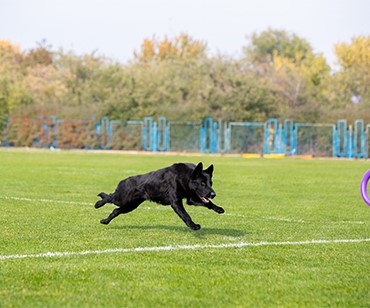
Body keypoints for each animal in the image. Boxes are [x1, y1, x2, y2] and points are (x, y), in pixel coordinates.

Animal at [94, 162, 224, 230]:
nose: (213, 194)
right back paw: (98, 203)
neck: (185, 177)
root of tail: (123, 181)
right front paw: (193, 226)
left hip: (130, 206)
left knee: (116, 210)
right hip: (122, 199)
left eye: (210, 183)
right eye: (202, 183)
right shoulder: (176, 202)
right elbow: (185, 215)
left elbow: (208, 203)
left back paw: (105, 221)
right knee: (110, 196)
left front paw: (218, 209)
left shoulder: (191, 199)